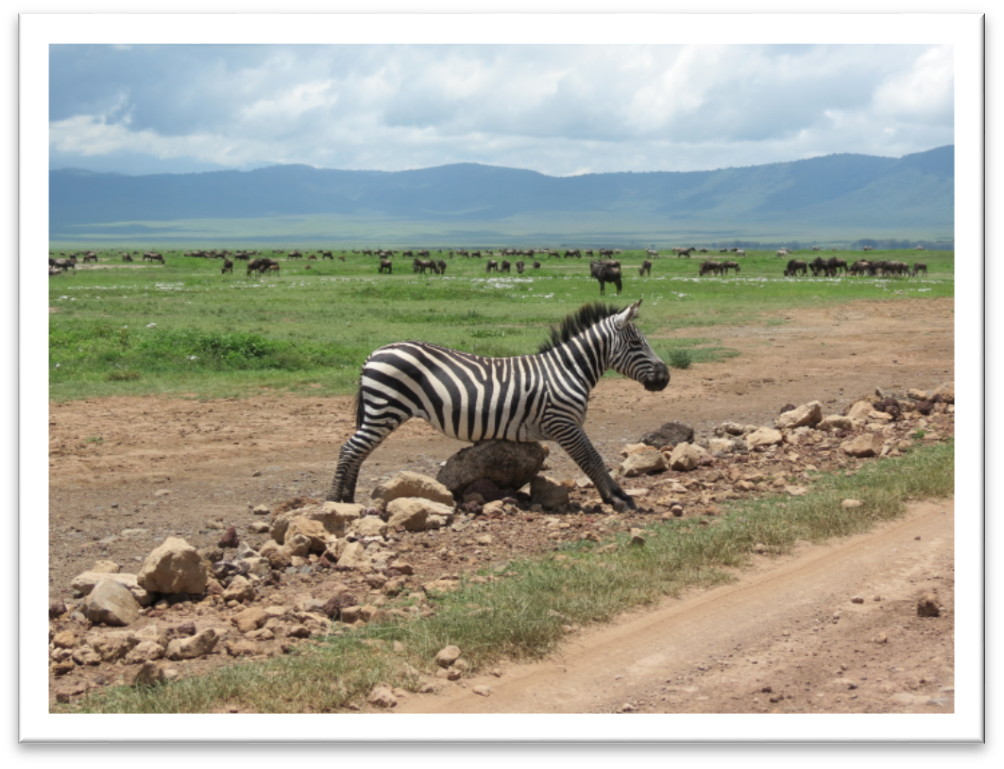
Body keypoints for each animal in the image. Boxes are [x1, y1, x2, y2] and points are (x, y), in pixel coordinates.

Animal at [329, 301, 670, 511]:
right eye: (636, 344)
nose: (665, 377)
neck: (567, 370)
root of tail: (374, 353)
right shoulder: (565, 423)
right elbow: (593, 460)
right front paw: (618, 498)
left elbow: (592, 461)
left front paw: (616, 497)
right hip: (384, 410)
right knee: (349, 449)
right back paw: (334, 501)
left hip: (381, 413)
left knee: (358, 452)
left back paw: (347, 501)